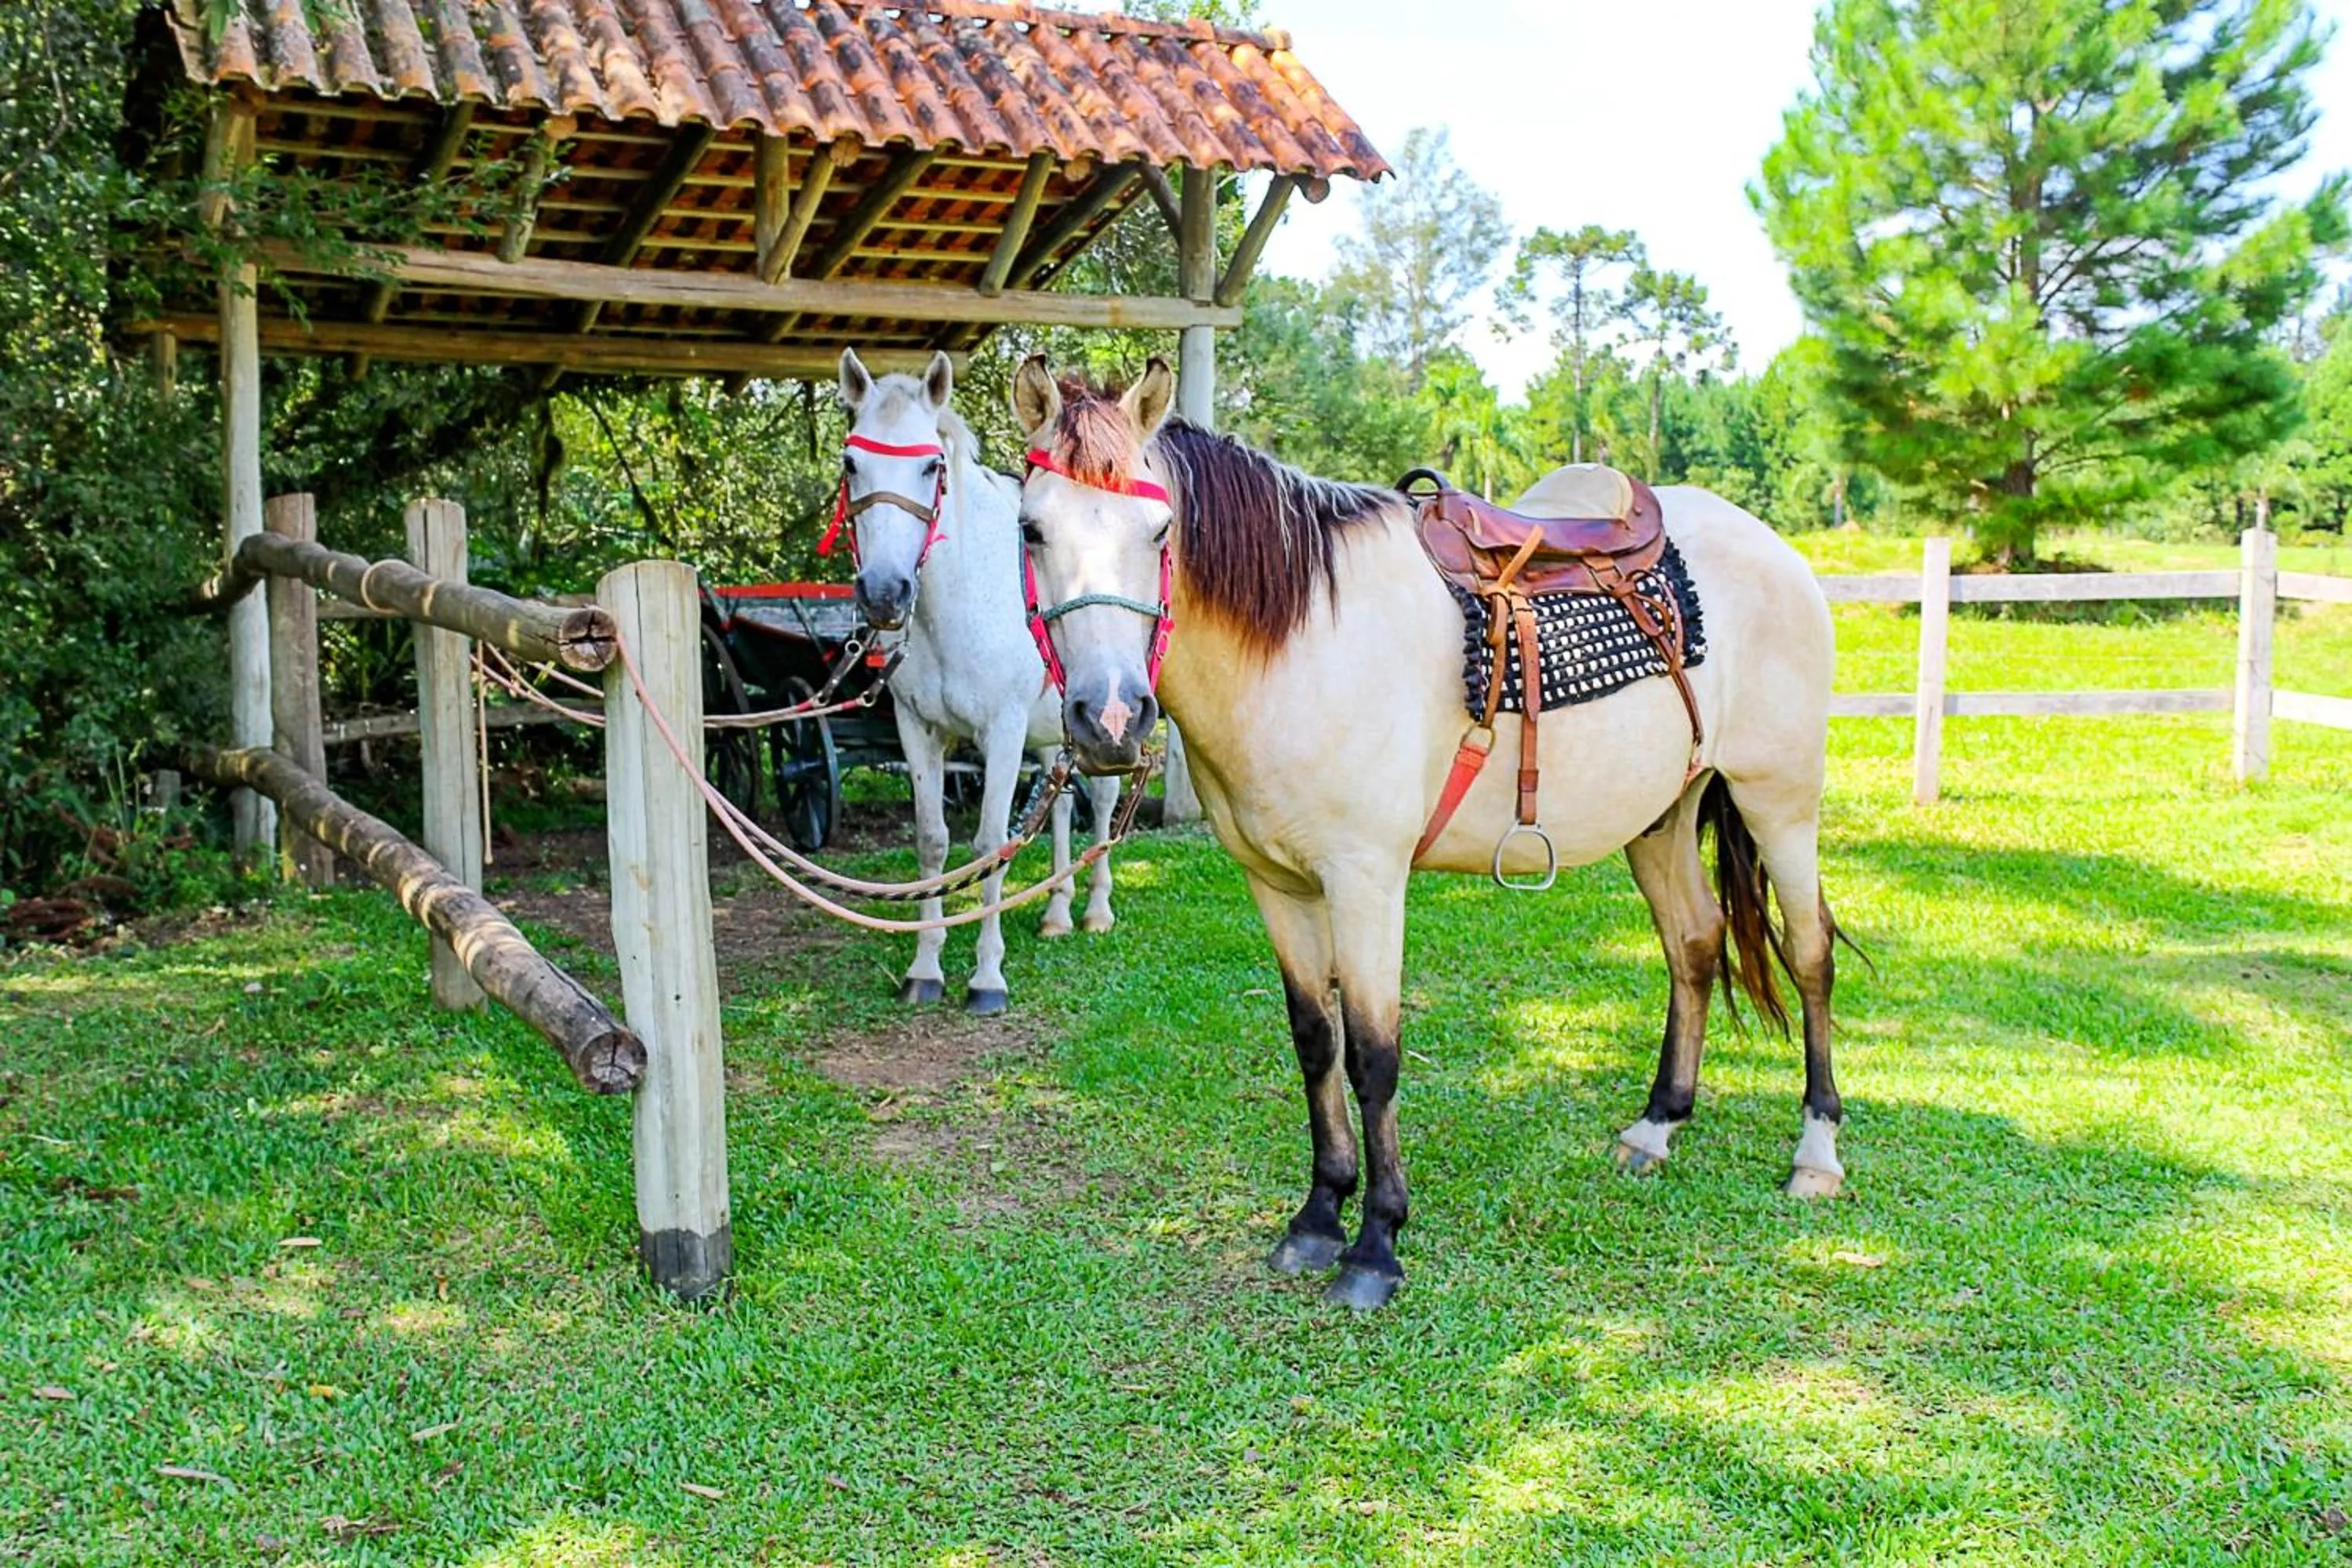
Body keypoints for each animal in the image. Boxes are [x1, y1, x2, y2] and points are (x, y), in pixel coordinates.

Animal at [833, 349, 1120, 1014]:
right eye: (851, 463)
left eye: (931, 467)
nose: (884, 593)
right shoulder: (918, 730)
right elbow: (932, 842)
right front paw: (925, 969)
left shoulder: (1002, 731)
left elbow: (991, 844)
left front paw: (987, 977)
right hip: (1053, 734)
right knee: (1060, 805)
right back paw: (1056, 914)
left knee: (1101, 801)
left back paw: (1096, 911)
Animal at [1008, 355, 1846, 1311]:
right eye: (1032, 527)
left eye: (1159, 531)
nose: (1111, 716)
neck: (1304, 644)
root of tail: (1775, 549)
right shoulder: (1278, 884)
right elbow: (1315, 1042)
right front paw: (1317, 1217)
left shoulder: (1367, 881)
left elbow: (1374, 1055)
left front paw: (1375, 1245)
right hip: (1662, 816)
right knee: (1696, 943)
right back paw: (1657, 1126)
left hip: (1780, 799)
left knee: (1810, 952)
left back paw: (1817, 1152)